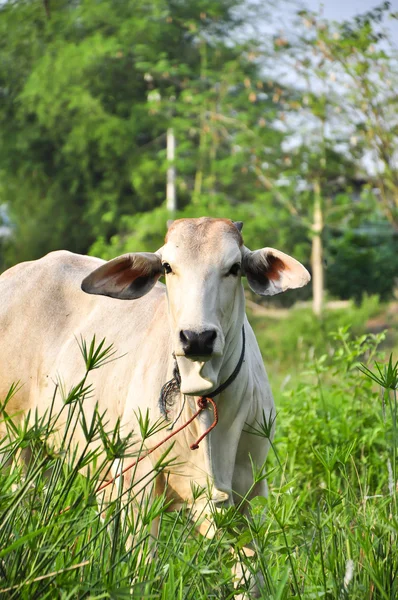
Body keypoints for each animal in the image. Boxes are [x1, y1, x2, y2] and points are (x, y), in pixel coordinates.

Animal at [0, 217, 310, 592]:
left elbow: (249, 577)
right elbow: (141, 572)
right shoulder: (139, 486)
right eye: (167, 267)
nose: (196, 338)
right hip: (10, 439)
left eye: (234, 267)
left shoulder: (245, 491)